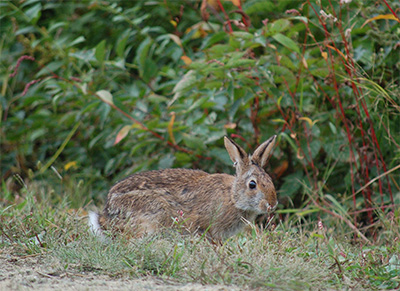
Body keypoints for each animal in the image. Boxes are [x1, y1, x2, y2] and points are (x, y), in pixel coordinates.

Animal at [89, 136, 278, 241]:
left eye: (269, 180)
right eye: (252, 185)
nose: (272, 204)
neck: (233, 197)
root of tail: (106, 216)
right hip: (152, 213)